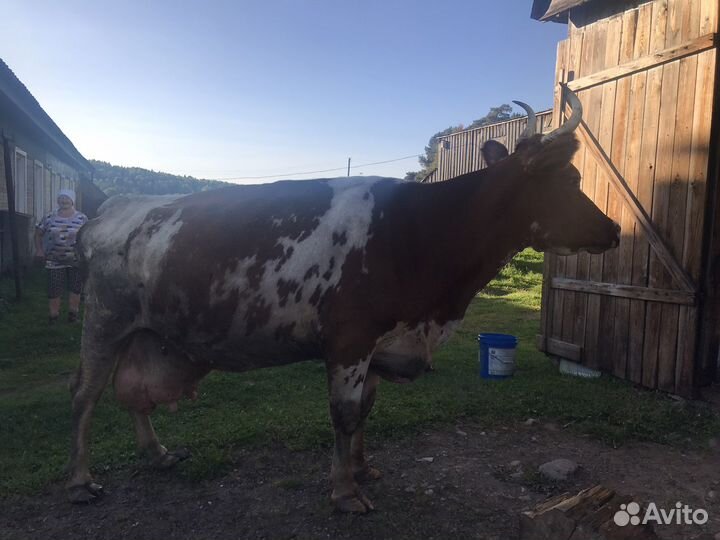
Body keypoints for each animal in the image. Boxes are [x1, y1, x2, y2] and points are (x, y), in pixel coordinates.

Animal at [66, 88, 619, 512]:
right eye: (572, 179)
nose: (614, 229)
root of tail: (112, 206)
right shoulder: (350, 338)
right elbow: (345, 414)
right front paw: (345, 491)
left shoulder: (381, 343)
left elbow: (367, 411)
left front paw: (362, 468)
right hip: (104, 319)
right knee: (85, 395)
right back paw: (80, 481)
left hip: (145, 333)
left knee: (132, 394)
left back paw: (158, 453)